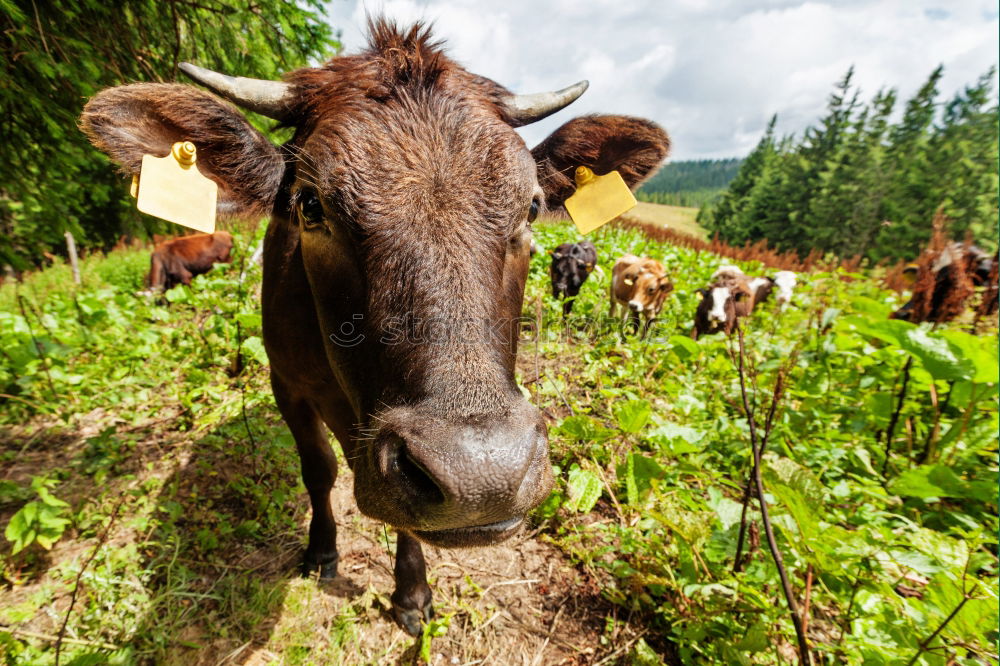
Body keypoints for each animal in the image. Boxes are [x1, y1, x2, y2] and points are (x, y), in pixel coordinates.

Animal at [80, 18, 672, 636]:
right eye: (309, 205)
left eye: (531, 207)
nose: (484, 474)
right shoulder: (285, 382)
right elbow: (317, 469)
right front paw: (321, 550)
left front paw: (411, 591)